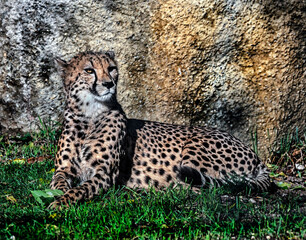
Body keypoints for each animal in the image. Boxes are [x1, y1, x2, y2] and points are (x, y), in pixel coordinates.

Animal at [49, 51, 272, 208]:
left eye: (111, 68)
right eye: (89, 70)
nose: (109, 84)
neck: (89, 116)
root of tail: (255, 156)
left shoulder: (104, 174)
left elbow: (81, 189)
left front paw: (60, 202)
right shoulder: (63, 169)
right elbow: (57, 184)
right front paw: (56, 196)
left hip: (194, 152)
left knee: (210, 186)